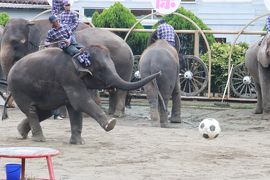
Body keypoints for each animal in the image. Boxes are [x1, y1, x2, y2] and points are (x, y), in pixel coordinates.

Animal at [0, 18, 134, 116]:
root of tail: (128, 46)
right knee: (113, 88)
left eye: (15, 43)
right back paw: (111, 113)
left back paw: (117, 114)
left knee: (120, 89)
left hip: (124, 64)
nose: (10, 106)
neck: (32, 22)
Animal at [7, 44, 160, 144]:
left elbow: (75, 108)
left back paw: (21, 132)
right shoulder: (69, 77)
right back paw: (39, 139)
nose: (159, 73)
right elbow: (81, 102)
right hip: (19, 89)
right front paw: (111, 124)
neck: (78, 55)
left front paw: (79, 143)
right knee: (32, 110)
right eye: (102, 70)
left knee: (44, 112)